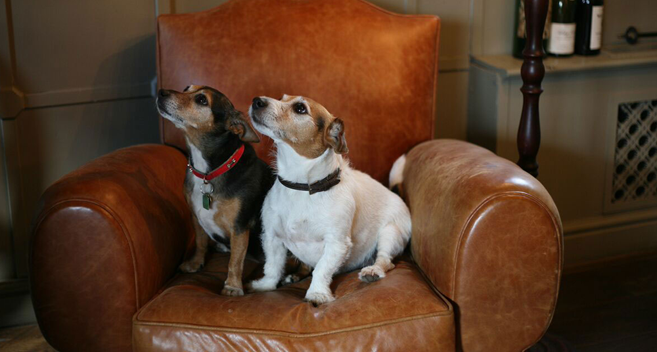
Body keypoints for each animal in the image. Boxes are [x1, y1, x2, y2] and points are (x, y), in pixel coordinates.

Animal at [156, 84, 274, 296]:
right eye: (186, 88)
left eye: (202, 100)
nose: (161, 92)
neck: (208, 172)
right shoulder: (195, 216)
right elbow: (200, 242)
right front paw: (195, 263)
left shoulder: (239, 227)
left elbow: (235, 261)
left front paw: (232, 287)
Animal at [246, 94, 410, 306]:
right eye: (282, 98)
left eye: (300, 108)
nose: (257, 100)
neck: (302, 187)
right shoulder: (272, 237)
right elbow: (273, 266)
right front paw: (265, 285)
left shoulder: (337, 244)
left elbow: (322, 269)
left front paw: (317, 293)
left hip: (390, 234)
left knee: (385, 260)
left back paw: (373, 271)